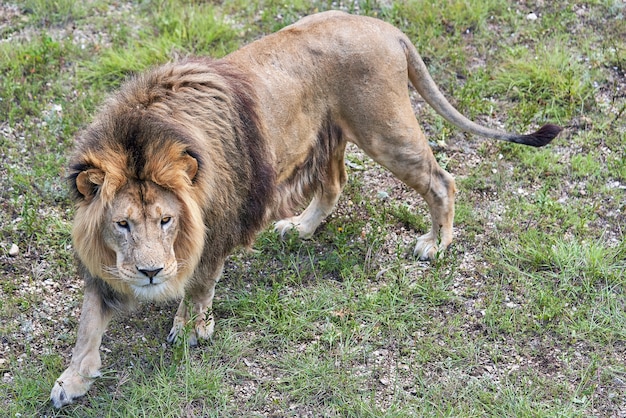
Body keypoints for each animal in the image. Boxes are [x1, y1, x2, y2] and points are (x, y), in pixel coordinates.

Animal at [50, 11, 560, 406]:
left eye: (166, 220)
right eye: (122, 224)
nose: (151, 273)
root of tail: (386, 27)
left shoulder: (219, 225)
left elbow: (198, 284)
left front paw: (191, 329)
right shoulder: (105, 265)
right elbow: (88, 325)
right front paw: (71, 382)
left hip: (383, 130)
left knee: (442, 180)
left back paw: (436, 243)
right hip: (329, 135)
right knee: (335, 184)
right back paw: (300, 227)